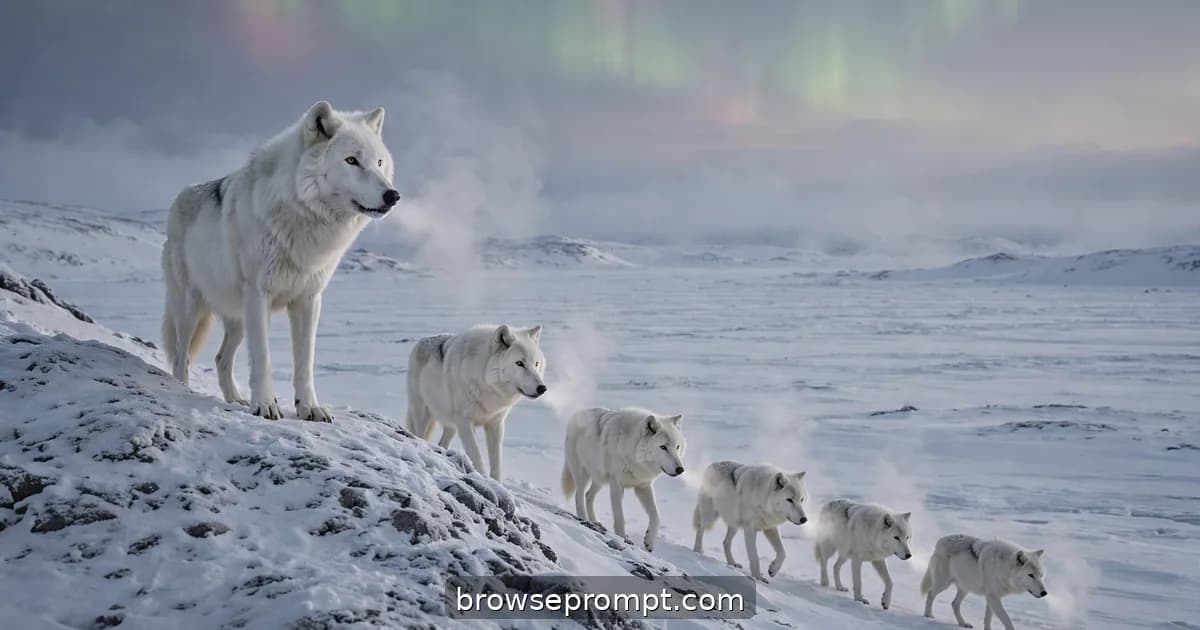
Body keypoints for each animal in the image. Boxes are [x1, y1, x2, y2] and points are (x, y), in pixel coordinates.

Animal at [162, 101, 399, 421]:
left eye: (379, 163)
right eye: (351, 160)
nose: (393, 195)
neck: (302, 216)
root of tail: (180, 195)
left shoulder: (309, 300)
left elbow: (305, 363)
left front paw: (309, 407)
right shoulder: (259, 295)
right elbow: (263, 359)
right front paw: (264, 405)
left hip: (238, 319)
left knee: (221, 359)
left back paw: (235, 399)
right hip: (191, 309)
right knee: (181, 355)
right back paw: (183, 390)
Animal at [407, 324, 547, 480]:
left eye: (536, 364)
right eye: (519, 363)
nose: (542, 388)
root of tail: (421, 341)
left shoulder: (496, 423)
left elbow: (496, 462)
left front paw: (496, 482)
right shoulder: (465, 424)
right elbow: (476, 456)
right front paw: (483, 478)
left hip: (451, 425)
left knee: (443, 442)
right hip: (423, 415)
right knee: (420, 435)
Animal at [561, 407, 686, 552]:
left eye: (677, 447)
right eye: (663, 447)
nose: (680, 469)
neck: (633, 453)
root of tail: (577, 414)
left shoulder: (643, 486)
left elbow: (656, 516)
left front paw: (649, 541)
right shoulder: (617, 485)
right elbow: (620, 517)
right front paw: (623, 538)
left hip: (600, 480)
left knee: (588, 496)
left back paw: (595, 521)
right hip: (583, 475)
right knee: (579, 495)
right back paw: (584, 519)